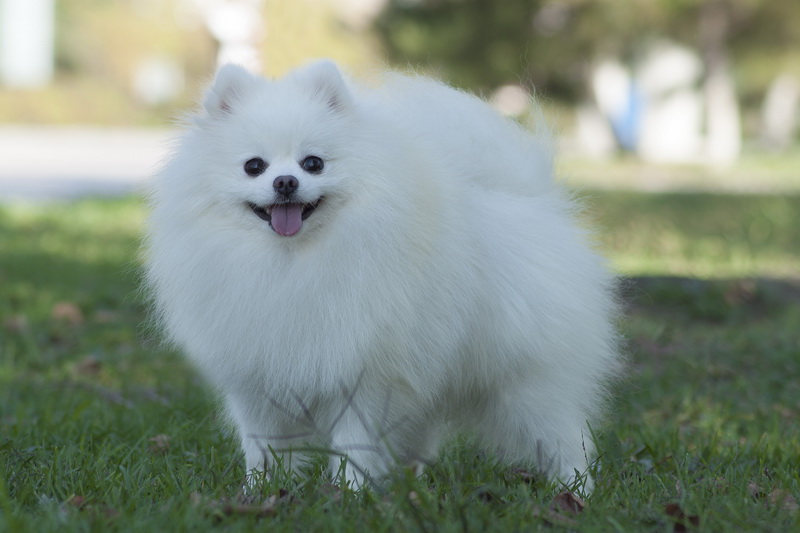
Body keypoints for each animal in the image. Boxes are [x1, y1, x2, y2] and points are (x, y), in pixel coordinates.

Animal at [145, 58, 620, 490]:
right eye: (254, 166)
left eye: (313, 163)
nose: (284, 182)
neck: (291, 262)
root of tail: (530, 201)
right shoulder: (257, 377)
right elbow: (263, 446)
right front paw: (261, 492)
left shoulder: (364, 375)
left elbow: (355, 444)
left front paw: (349, 496)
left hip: (524, 383)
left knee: (563, 437)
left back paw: (575, 491)